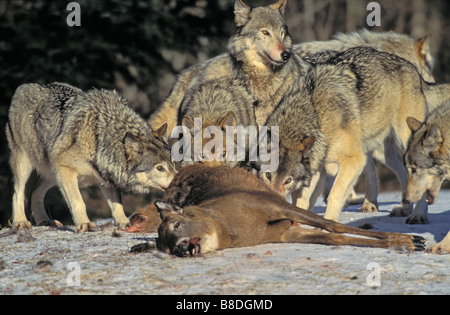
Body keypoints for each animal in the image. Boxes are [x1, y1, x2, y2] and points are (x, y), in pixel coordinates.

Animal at [7, 82, 176, 233]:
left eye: (172, 164)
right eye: (160, 168)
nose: (178, 179)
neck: (99, 139)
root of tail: (22, 87)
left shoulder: (107, 178)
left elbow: (117, 205)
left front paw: (124, 223)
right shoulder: (65, 169)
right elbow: (78, 202)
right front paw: (85, 224)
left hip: (52, 174)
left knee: (35, 194)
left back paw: (45, 221)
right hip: (27, 166)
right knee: (17, 193)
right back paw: (20, 222)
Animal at [153, 164, 424, 258]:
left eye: (176, 224)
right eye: (166, 247)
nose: (181, 248)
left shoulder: (275, 205)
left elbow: (333, 225)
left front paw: (409, 240)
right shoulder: (283, 233)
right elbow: (334, 237)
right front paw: (403, 242)